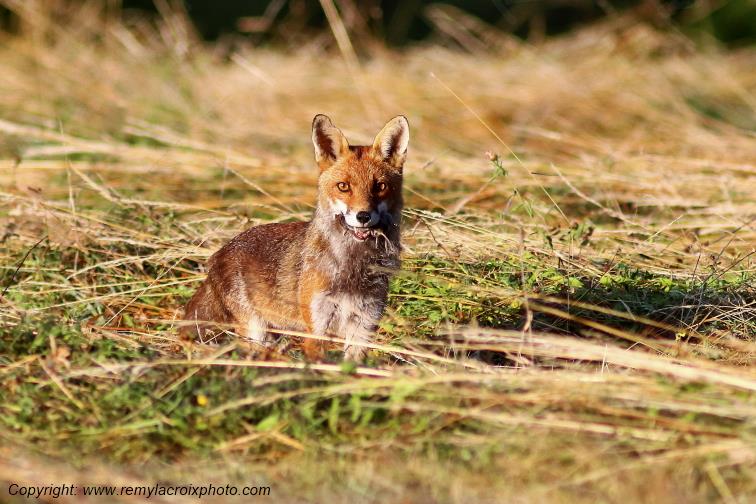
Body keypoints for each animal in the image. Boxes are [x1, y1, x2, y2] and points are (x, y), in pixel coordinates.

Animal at [180, 114, 409, 361]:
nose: (363, 216)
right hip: (255, 331)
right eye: (343, 186)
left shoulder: (364, 326)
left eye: (380, 186)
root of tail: (219, 253)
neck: (352, 269)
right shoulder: (317, 328)